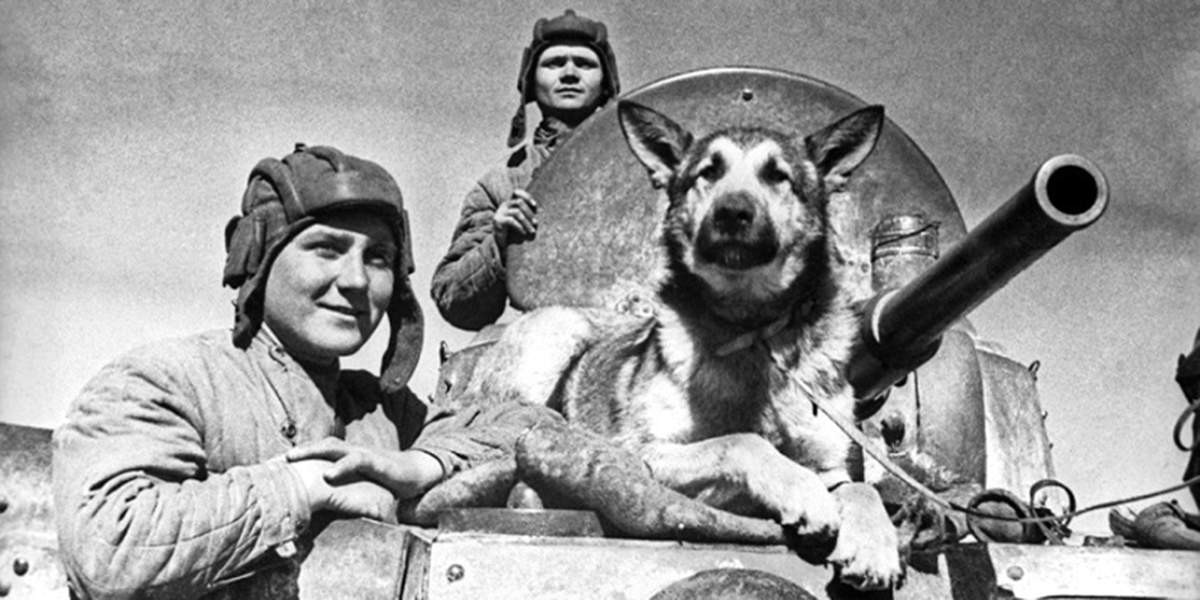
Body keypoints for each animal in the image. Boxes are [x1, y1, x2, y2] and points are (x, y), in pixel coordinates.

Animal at [457, 100, 901, 590]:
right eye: (708, 171)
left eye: (778, 175)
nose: (732, 212)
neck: (750, 328)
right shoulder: (644, 453)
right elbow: (741, 441)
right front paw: (801, 490)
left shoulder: (833, 463)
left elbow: (861, 488)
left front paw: (875, 546)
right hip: (554, 338)